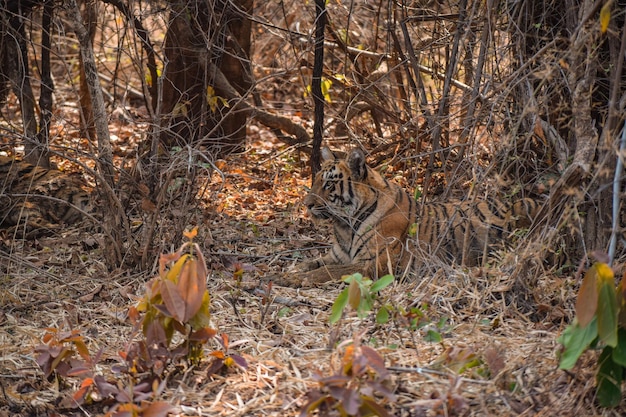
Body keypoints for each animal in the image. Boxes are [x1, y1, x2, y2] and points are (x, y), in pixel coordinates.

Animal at [290, 146, 540, 282]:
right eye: (315, 181)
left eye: (329, 185)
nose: (306, 204)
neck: (344, 224)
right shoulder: (336, 256)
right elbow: (312, 263)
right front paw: (290, 273)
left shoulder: (371, 264)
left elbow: (327, 272)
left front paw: (297, 279)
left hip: (522, 207)